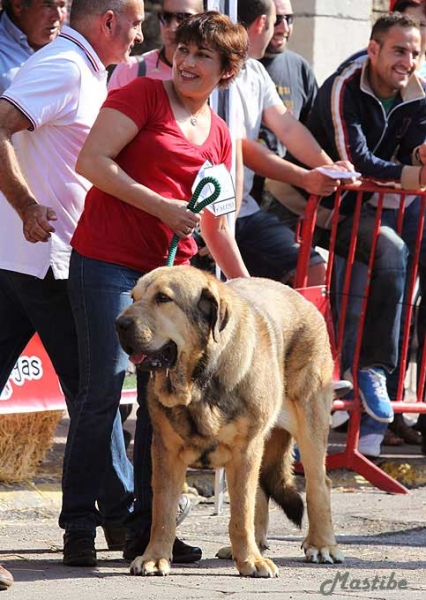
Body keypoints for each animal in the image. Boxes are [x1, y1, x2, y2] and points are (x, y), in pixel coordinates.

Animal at [115, 266, 342, 576]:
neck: (198, 380)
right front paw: (155, 557)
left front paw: (250, 561)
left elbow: (240, 514)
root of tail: (306, 299)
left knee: (319, 484)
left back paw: (321, 545)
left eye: (163, 298)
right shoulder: (165, 452)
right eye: (134, 297)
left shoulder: (245, 450)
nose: (119, 323)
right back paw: (256, 545)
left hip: (310, 423)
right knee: (261, 492)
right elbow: (162, 511)